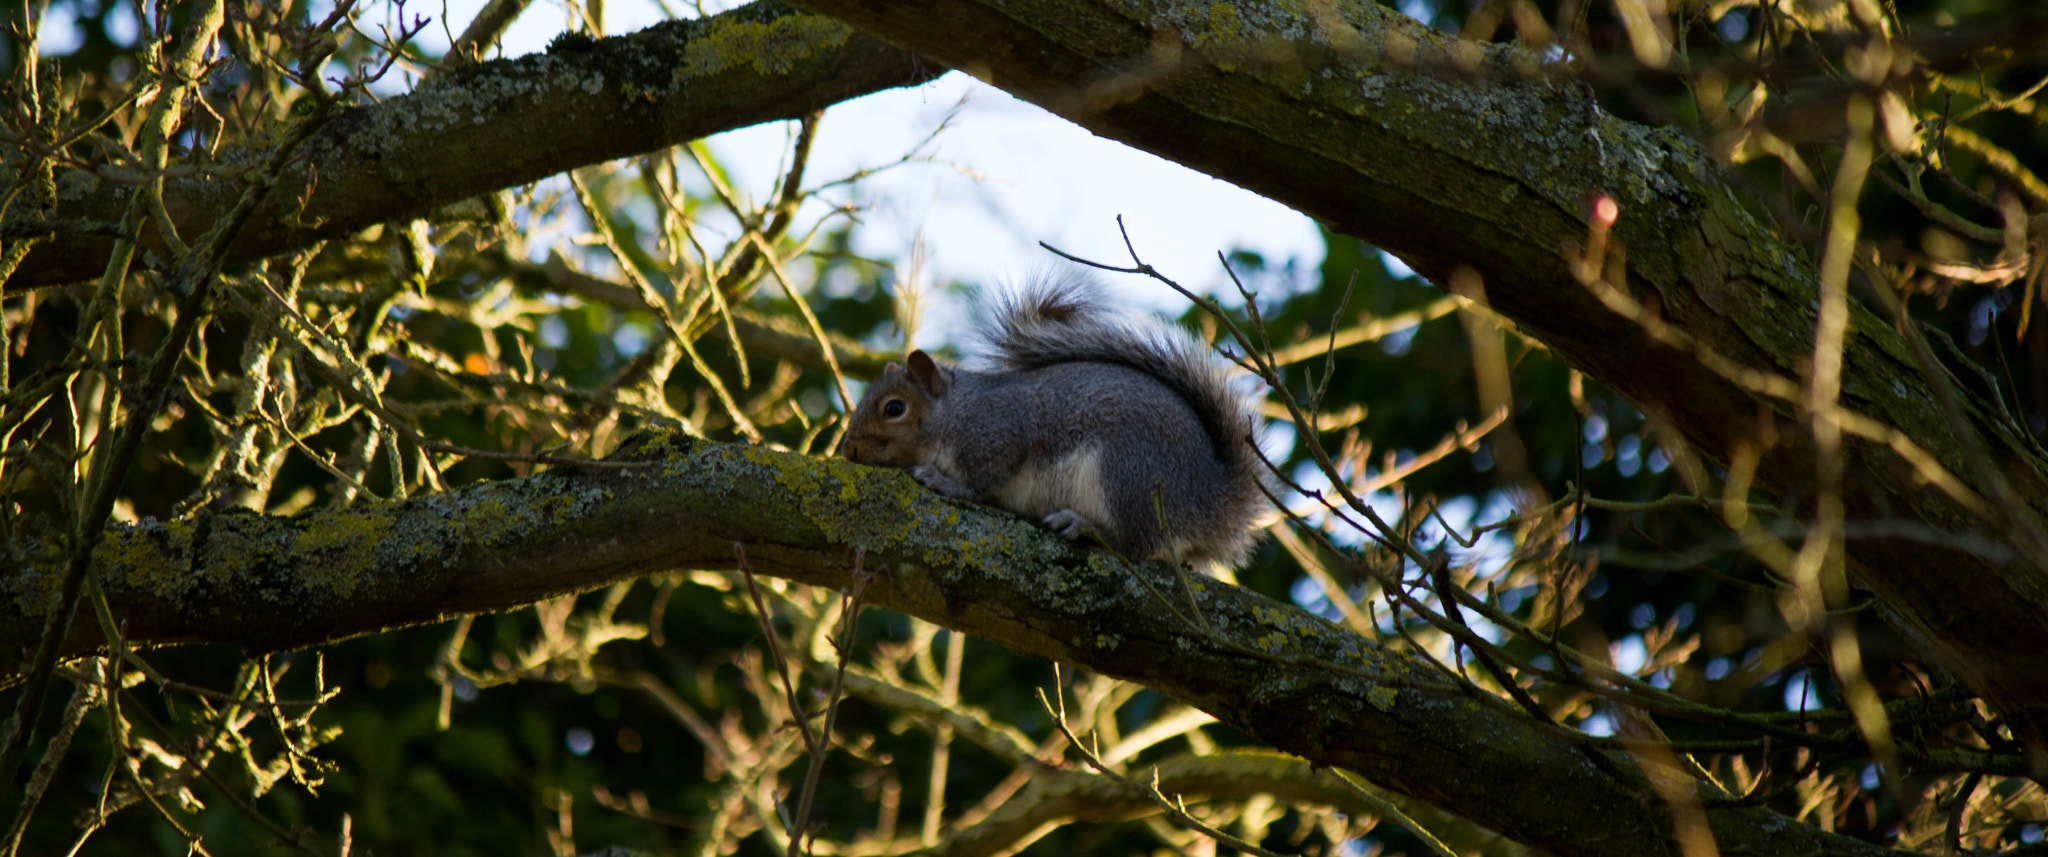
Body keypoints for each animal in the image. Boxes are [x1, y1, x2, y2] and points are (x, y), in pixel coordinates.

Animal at [841, 275, 1269, 569]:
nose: (848, 450)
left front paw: (943, 481)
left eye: (894, 409)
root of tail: (1209, 498)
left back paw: (1082, 524)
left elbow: (981, 481)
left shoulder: (998, 434)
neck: (955, 411)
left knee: (1135, 543)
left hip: (1127, 473)